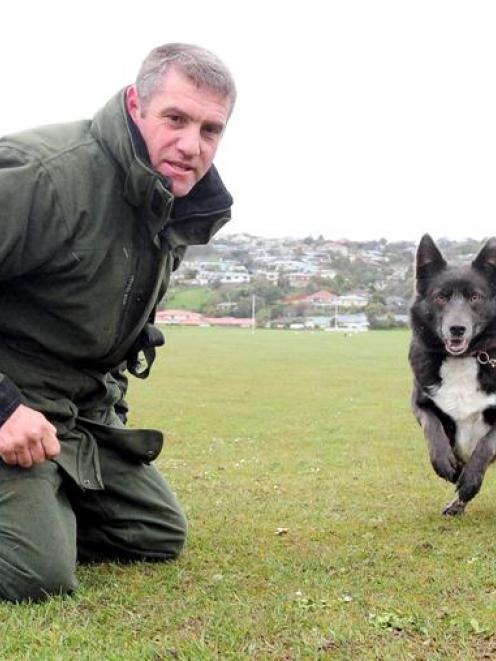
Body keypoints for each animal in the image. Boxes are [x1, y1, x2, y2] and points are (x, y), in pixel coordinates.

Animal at [408, 233, 496, 516]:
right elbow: (433, 429)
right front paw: (447, 465)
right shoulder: (421, 403)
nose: (457, 328)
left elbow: (486, 445)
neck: (463, 359)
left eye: (475, 297)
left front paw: (469, 482)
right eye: (441, 297)